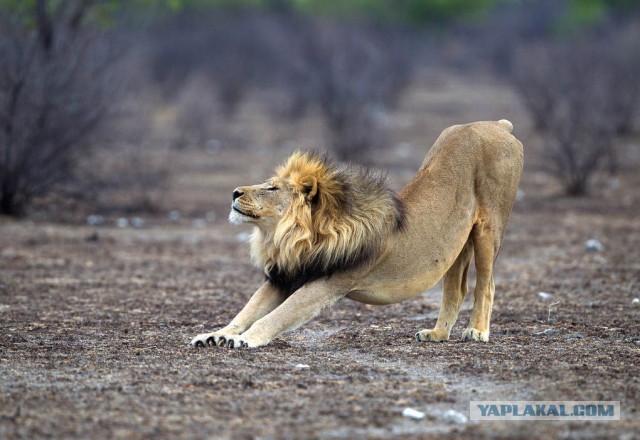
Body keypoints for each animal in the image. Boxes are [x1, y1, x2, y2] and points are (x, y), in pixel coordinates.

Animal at [190, 118, 524, 348]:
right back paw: (438, 333)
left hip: (489, 228)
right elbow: (246, 311)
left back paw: (477, 331)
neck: (289, 238)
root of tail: (497, 124)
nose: (234, 192)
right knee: (456, 289)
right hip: (456, 243)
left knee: (487, 284)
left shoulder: (328, 284)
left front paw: (244, 339)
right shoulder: (285, 276)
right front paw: (215, 334)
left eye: (271, 188)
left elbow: (278, 315)